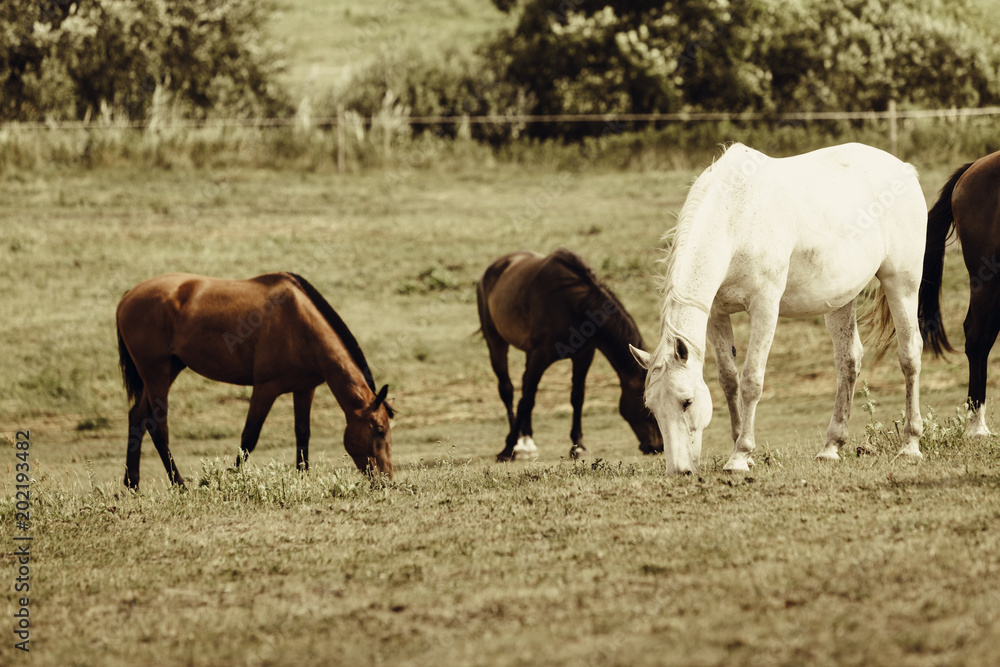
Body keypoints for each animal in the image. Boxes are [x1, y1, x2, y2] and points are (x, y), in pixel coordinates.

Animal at [117, 272, 394, 490]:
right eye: (379, 430)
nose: (387, 481)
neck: (299, 321)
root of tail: (128, 296)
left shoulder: (305, 389)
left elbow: (303, 433)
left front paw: (302, 479)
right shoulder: (265, 388)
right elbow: (249, 437)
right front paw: (233, 481)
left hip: (167, 370)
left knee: (137, 419)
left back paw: (133, 483)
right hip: (157, 372)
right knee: (158, 427)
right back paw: (180, 484)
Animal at [478, 248, 664, 462]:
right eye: (647, 406)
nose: (658, 446)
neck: (576, 306)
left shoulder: (583, 356)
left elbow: (577, 398)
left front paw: (578, 446)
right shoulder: (540, 356)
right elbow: (525, 401)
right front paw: (507, 449)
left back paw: (527, 441)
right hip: (496, 341)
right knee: (507, 389)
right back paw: (517, 443)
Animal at [632, 142, 928, 474]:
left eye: (687, 402)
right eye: (652, 408)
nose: (679, 470)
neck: (736, 218)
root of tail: (904, 169)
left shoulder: (765, 307)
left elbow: (751, 379)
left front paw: (740, 455)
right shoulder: (717, 313)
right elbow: (729, 380)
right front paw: (741, 447)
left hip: (902, 284)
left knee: (910, 354)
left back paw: (910, 444)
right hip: (841, 298)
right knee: (848, 360)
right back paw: (831, 446)